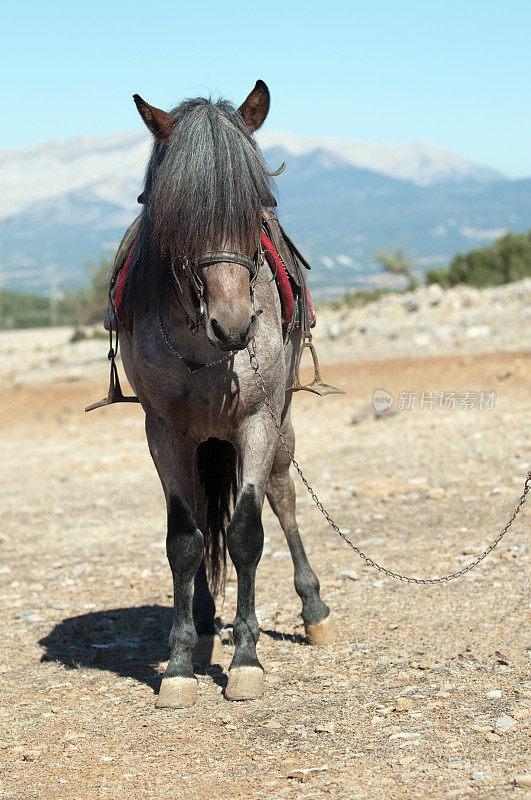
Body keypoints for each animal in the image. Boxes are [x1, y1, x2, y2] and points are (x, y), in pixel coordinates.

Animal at [115, 79, 336, 708]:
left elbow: (246, 533)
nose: (235, 322)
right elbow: (184, 541)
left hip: (280, 427)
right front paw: (179, 664)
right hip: (198, 443)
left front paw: (246, 660)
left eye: (258, 202)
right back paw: (205, 616)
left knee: (283, 498)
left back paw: (313, 610)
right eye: (173, 215)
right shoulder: (164, 431)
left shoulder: (257, 421)